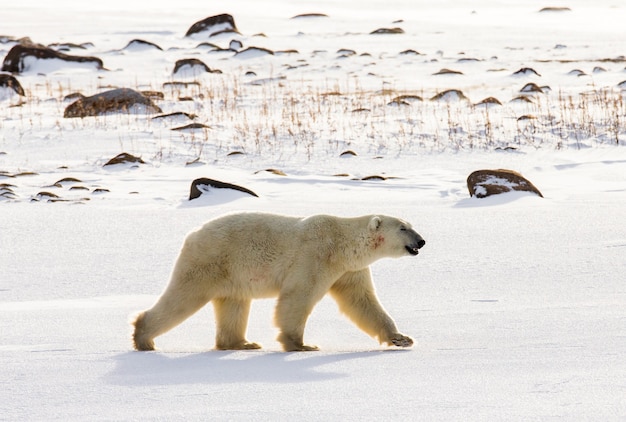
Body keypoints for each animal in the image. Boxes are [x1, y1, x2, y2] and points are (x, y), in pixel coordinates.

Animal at [132, 213, 424, 352]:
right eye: (402, 228)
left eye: (410, 224)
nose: (421, 241)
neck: (341, 244)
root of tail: (192, 234)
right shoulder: (315, 256)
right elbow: (297, 297)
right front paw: (301, 344)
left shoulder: (349, 271)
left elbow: (362, 302)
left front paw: (401, 338)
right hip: (210, 260)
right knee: (183, 297)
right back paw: (143, 338)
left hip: (233, 274)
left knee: (234, 305)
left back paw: (242, 343)